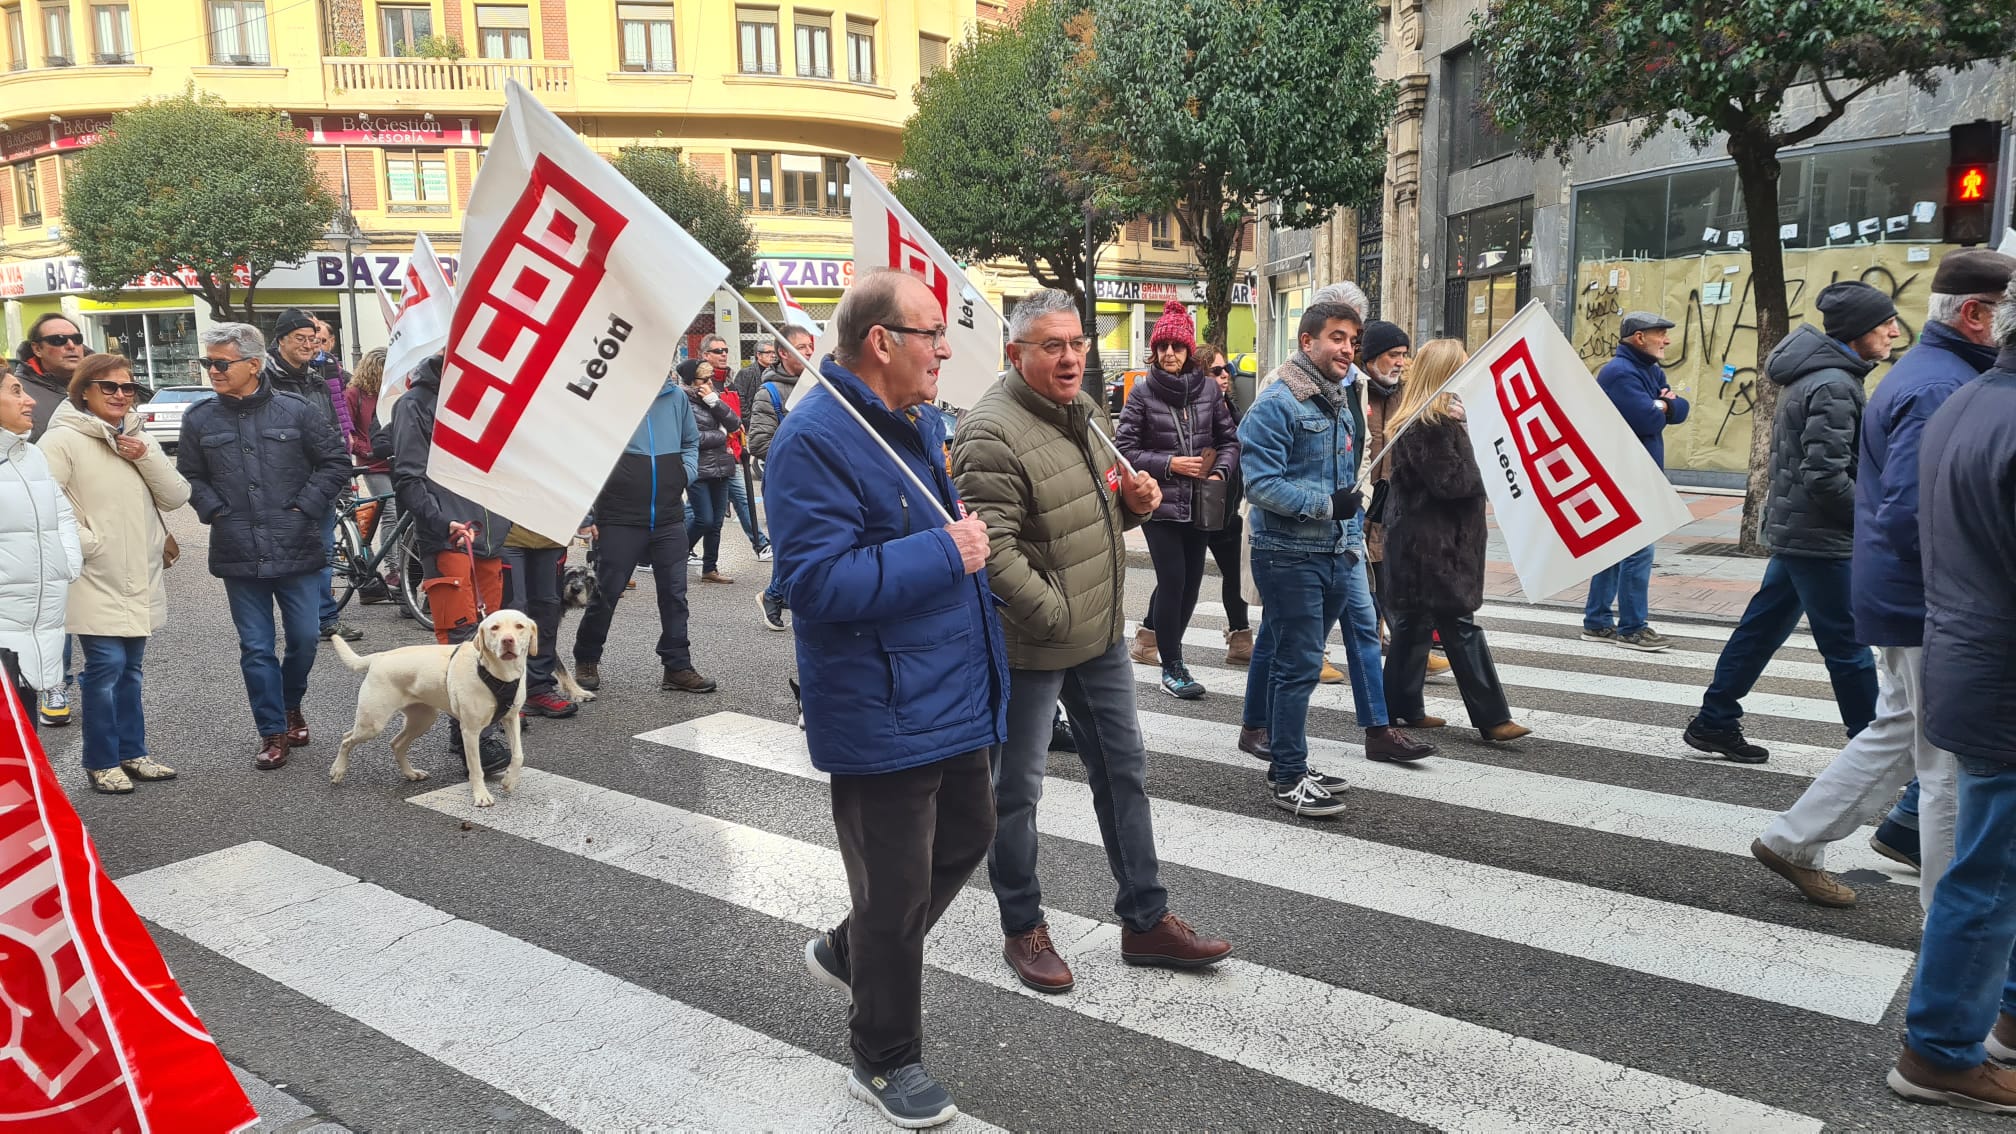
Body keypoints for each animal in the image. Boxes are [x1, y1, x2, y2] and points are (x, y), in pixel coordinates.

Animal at [330, 609, 536, 803]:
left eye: (519, 626)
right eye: (494, 628)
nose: (507, 640)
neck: (498, 673)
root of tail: (379, 657)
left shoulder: (511, 718)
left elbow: (519, 755)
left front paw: (509, 781)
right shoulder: (470, 730)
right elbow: (476, 768)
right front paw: (481, 796)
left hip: (422, 719)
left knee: (396, 743)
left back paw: (411, 773)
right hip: (373, 722)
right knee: (346, 738)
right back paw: (337, 770)